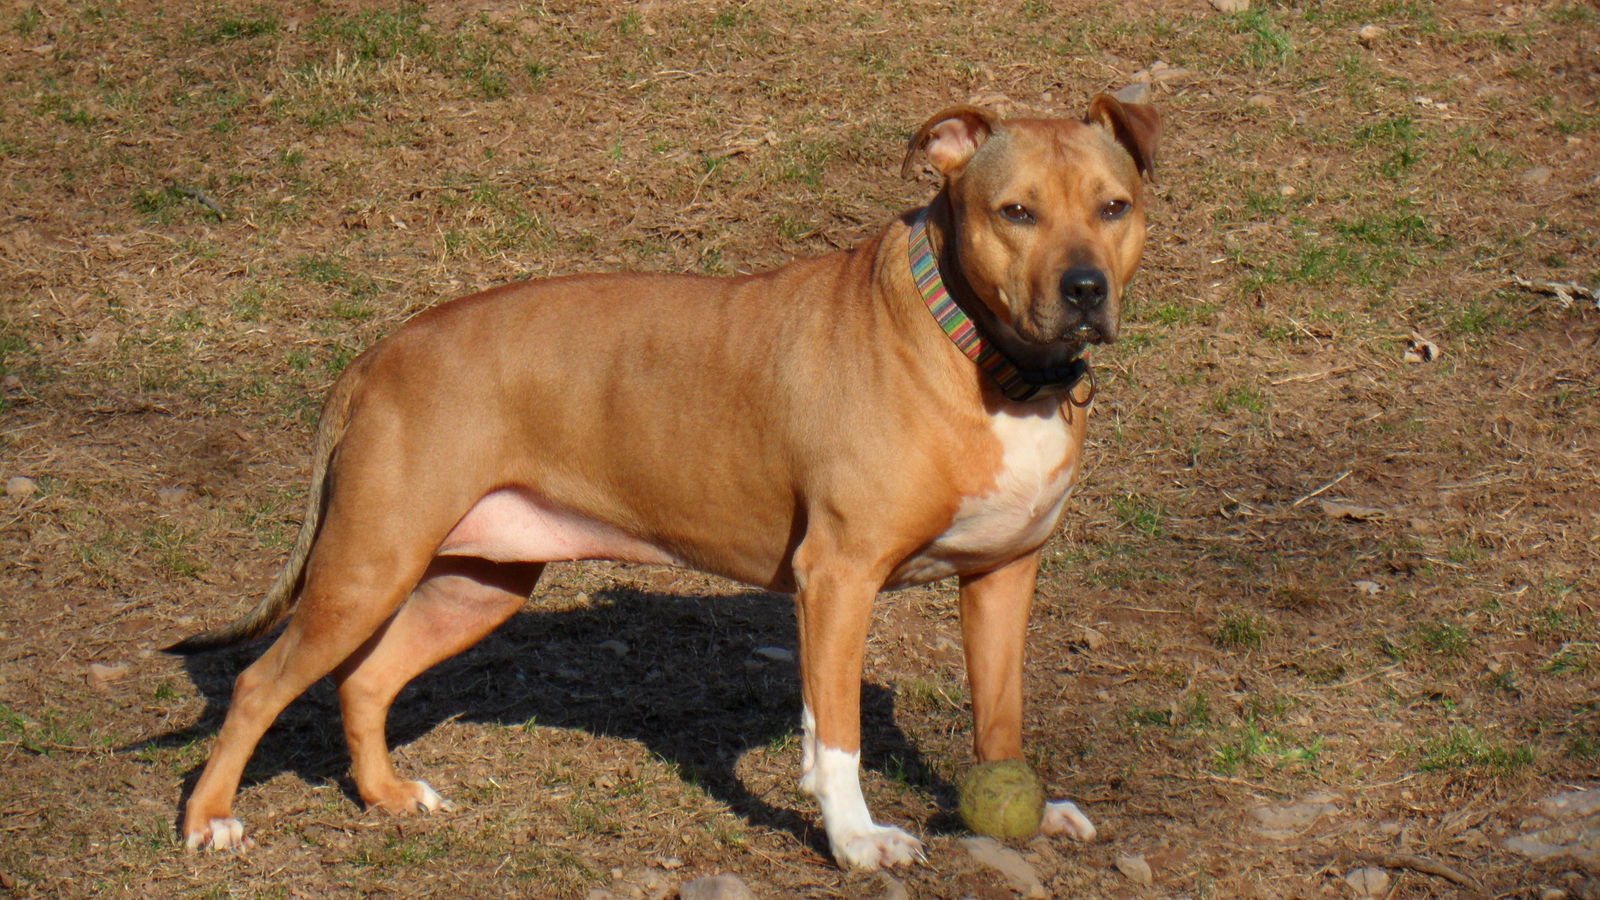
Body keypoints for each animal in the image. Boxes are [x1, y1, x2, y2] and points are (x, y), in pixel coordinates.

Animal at [168, 92, 1158, 871]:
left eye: (1114, 206)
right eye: (1016, 212)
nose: (1084, 289)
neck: (986, 358)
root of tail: (380, 353)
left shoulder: (1002, 577)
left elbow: (1000, 713)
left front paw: (1026, 804)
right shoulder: (838, 580)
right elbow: (836, 733)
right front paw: (856, 841)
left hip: (474, 584)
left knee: (365, 682)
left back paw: (386, 796)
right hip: (366, 569)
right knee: (260, 683)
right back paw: (210, 820)